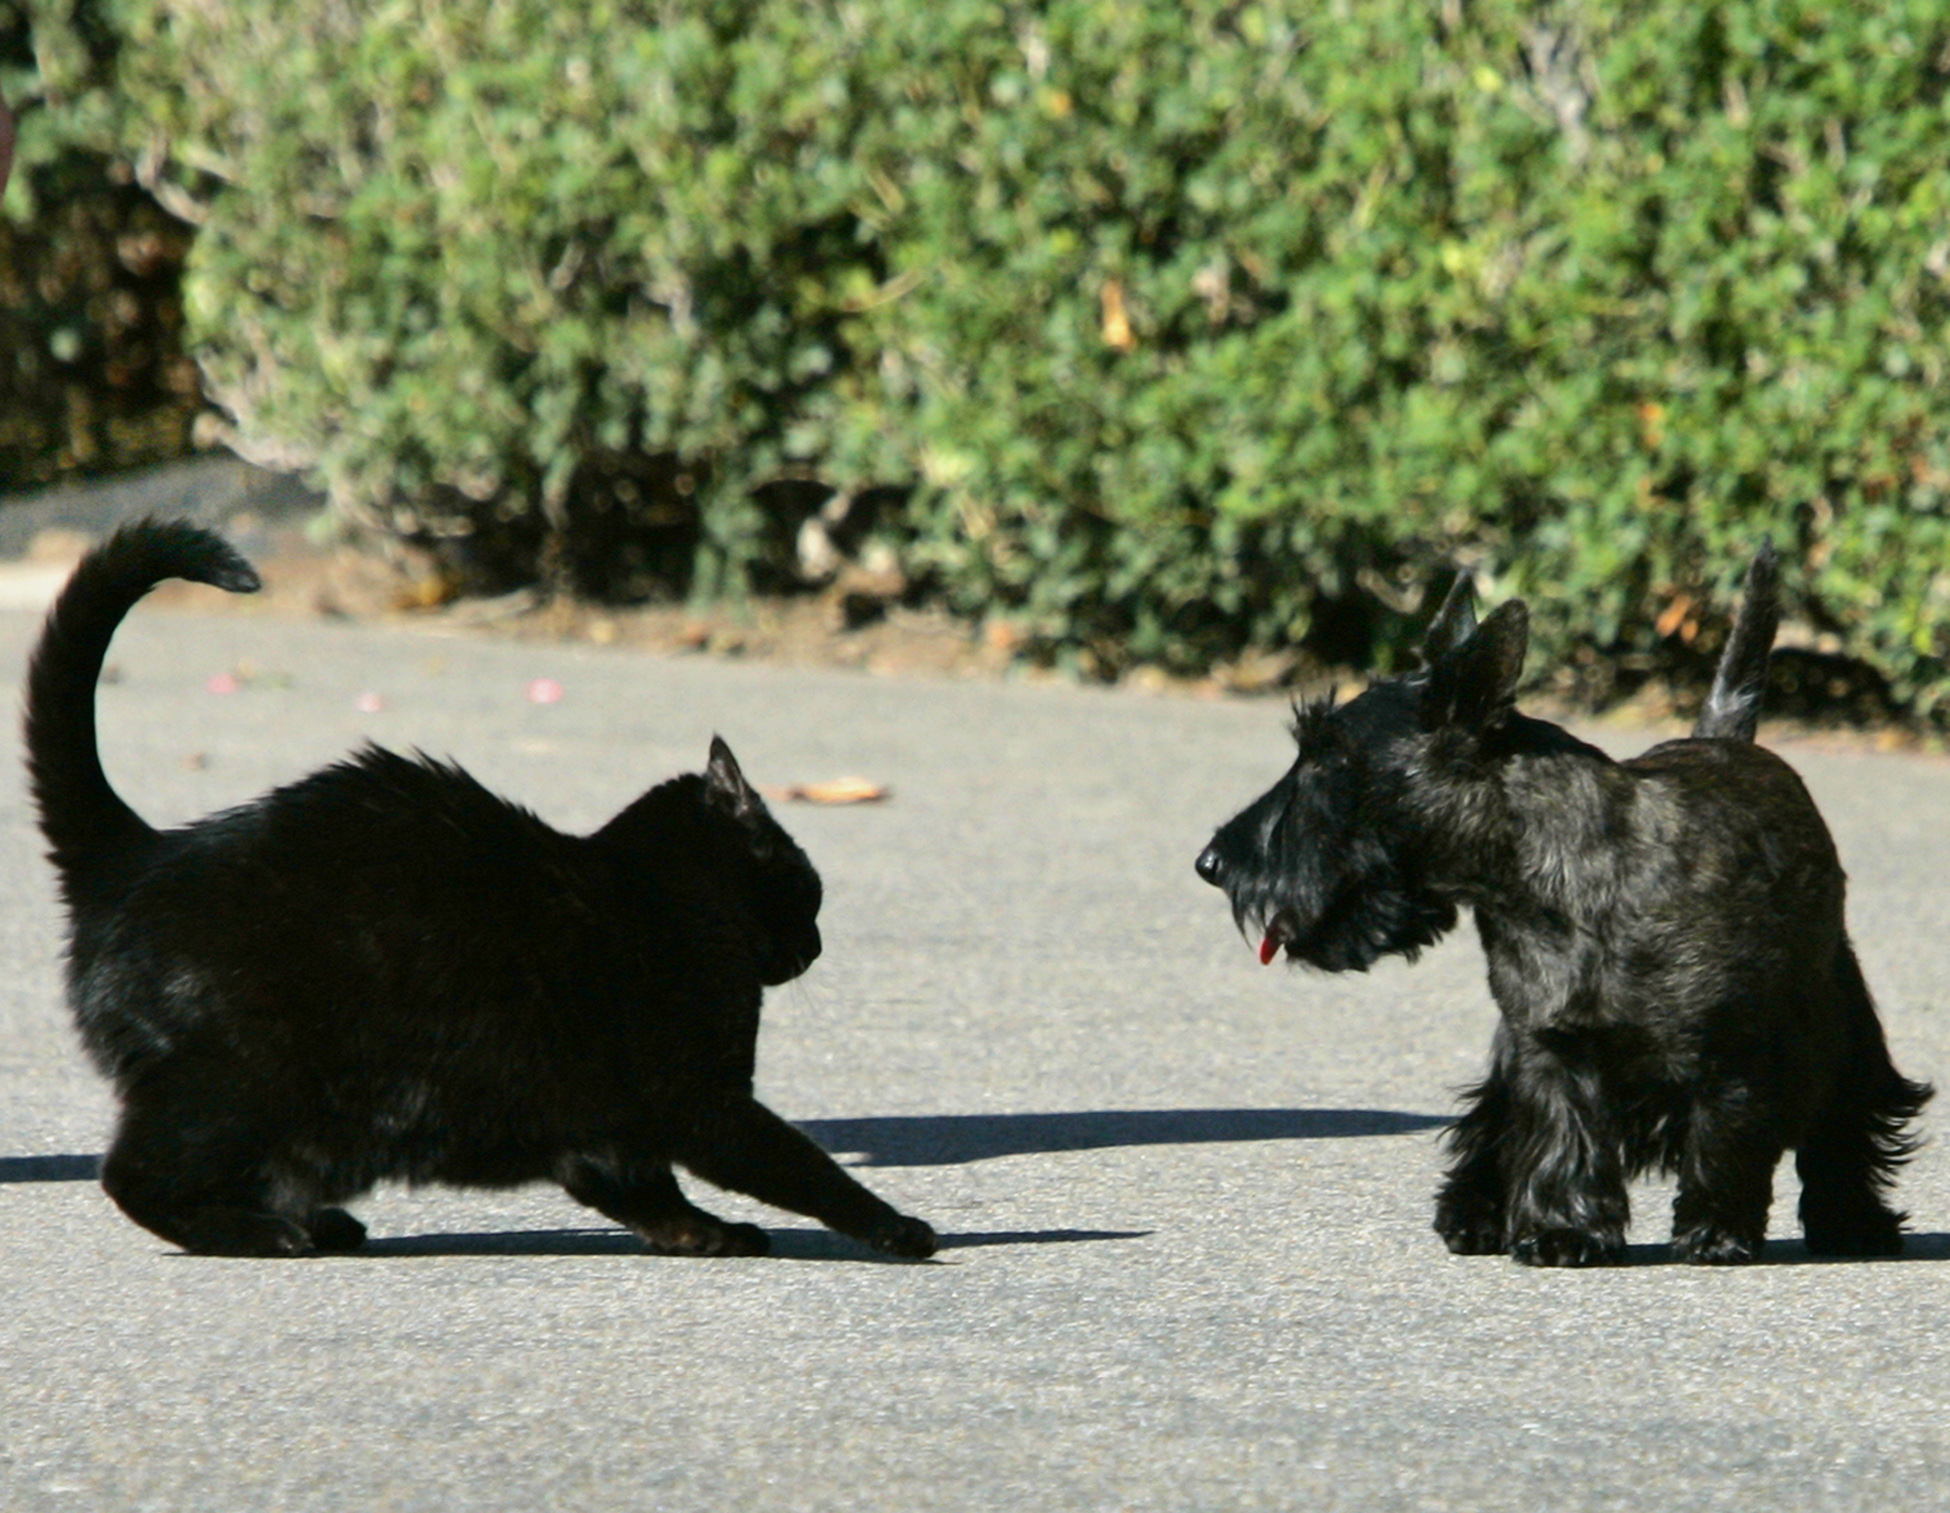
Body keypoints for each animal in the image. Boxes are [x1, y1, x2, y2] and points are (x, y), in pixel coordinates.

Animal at [22, 518, 936, 1263]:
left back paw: (314, 1222)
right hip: (239, 1083)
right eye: (808, 886)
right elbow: (801, 1164)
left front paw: (705, 1235)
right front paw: (897, 1228)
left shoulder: (608, 1129)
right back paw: (265, 1233)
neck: (664, 898)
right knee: (132, 1174)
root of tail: (139, 855)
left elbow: (641, 1190)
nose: (816, 945)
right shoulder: (702, 1099)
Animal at [1193, 549, 1926, 1255]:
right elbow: (1560, 1134)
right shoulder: (1545, 1047)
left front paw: (1715, 1231)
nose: (1211, 863)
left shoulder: (1734, 1050)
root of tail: (1727, 736)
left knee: (1846, 1123)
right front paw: (1561, 1231)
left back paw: (1853, 1222)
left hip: (1841, 1014)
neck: (1548, 890)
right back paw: (1472, 1218)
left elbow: (1726, 1134)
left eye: (1327, 760)